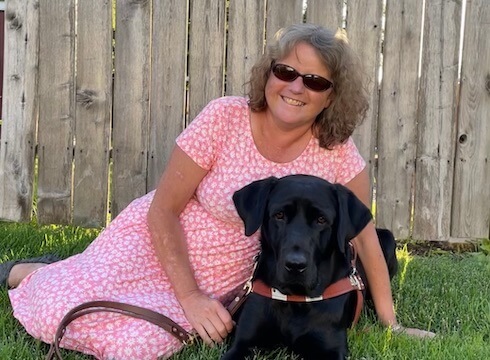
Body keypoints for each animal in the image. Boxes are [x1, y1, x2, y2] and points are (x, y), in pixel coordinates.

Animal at [222, 173, 398, 358]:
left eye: (321, 220)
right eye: (279, 215)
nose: (295, 265)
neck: (295, 300)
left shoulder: (332, 348)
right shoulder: (243, 342)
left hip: (388, 239)